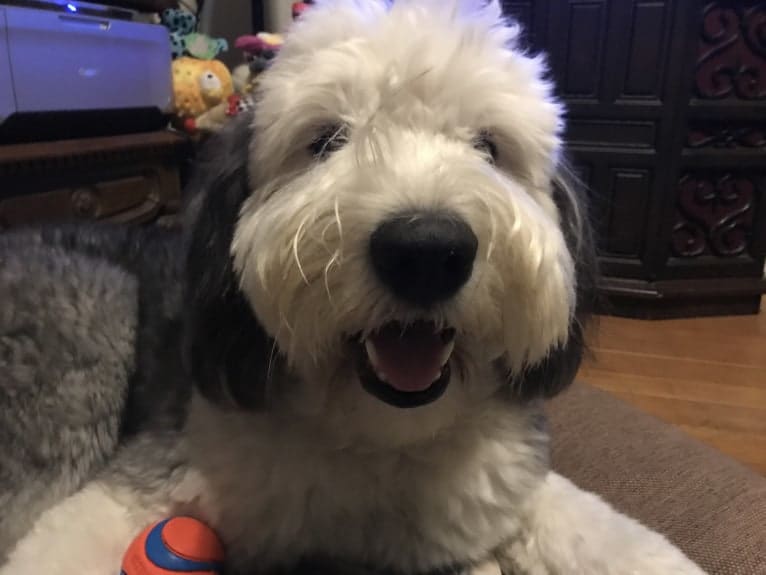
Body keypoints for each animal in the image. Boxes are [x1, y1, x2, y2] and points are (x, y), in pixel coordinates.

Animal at [0, 1, 708, 575]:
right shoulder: (150, 479)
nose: (426, 252)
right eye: (326, 140)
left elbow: (599, 529)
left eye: (489, 146)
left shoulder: (500, 485)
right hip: (92, 321)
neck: (377, 432)